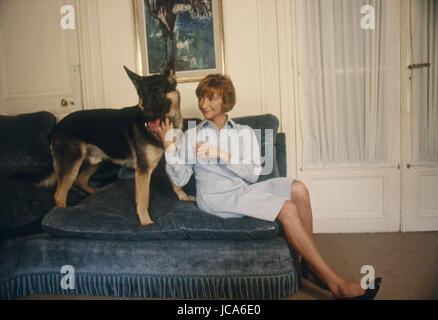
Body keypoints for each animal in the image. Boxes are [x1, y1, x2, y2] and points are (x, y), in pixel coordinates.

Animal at [39, 58, 193, 226]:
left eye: (159, 92)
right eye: (142, 95)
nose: (146, 117)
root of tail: (57, 126)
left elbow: (176, 183)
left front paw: (183, 197)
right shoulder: (143, 171)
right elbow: (143, 199)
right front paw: (146, 223)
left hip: (95, 161)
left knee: (80, 181)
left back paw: (94, 192)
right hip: (71, 165)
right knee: (59, 194)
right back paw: (63, 213)